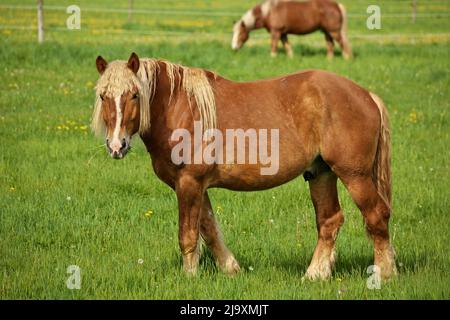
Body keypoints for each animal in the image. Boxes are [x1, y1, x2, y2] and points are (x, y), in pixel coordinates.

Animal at [93, 52, 396, 280]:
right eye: (103, 96)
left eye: (134, 94)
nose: (116, 146)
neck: (179, 108)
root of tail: (366, 95)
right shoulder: (197, 186)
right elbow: (209, 229)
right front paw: (230, 268)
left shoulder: (189, 182)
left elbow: (188, 235)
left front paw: (189, 277)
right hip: (321, 174)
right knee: (330, 221)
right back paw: (315, 274)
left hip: (354, 176)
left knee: (376, 216)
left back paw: (383, 274)